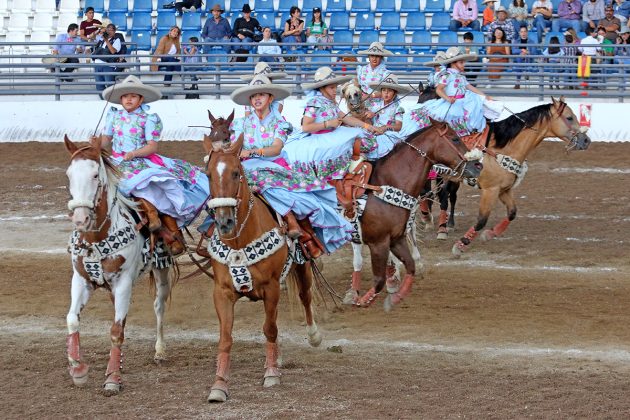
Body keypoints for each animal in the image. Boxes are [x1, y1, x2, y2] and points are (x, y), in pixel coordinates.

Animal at [64, 136, 177, 396]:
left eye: (95, 174)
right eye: (69, 174)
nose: (81, 219)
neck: (96, 239)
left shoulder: (124, 283)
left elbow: (116, 331)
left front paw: (112, 379)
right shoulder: (81, 280)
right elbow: (72, 319)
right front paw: (78, 370)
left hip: (161, 270)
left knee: (159, 306)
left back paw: (160, 351)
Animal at [202, 116, 324, 402]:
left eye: (236, 173)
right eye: (208, 174)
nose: (224, 222)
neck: (239, 242)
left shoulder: (271, 288)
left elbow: (270, 329)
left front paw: (271, 374)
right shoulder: (222, 292)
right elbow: (225, 338)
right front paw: (219, 385)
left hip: (300, 267)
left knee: (305, 296)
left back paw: (312, 336)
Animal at [454, 97, 592, 256]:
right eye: (569, 117)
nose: (586, 140)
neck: (501, 149)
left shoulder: (504, 189)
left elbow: (512, 212)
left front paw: (490, 233)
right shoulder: (490, 190)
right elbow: (482, 220)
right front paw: (460, 245)